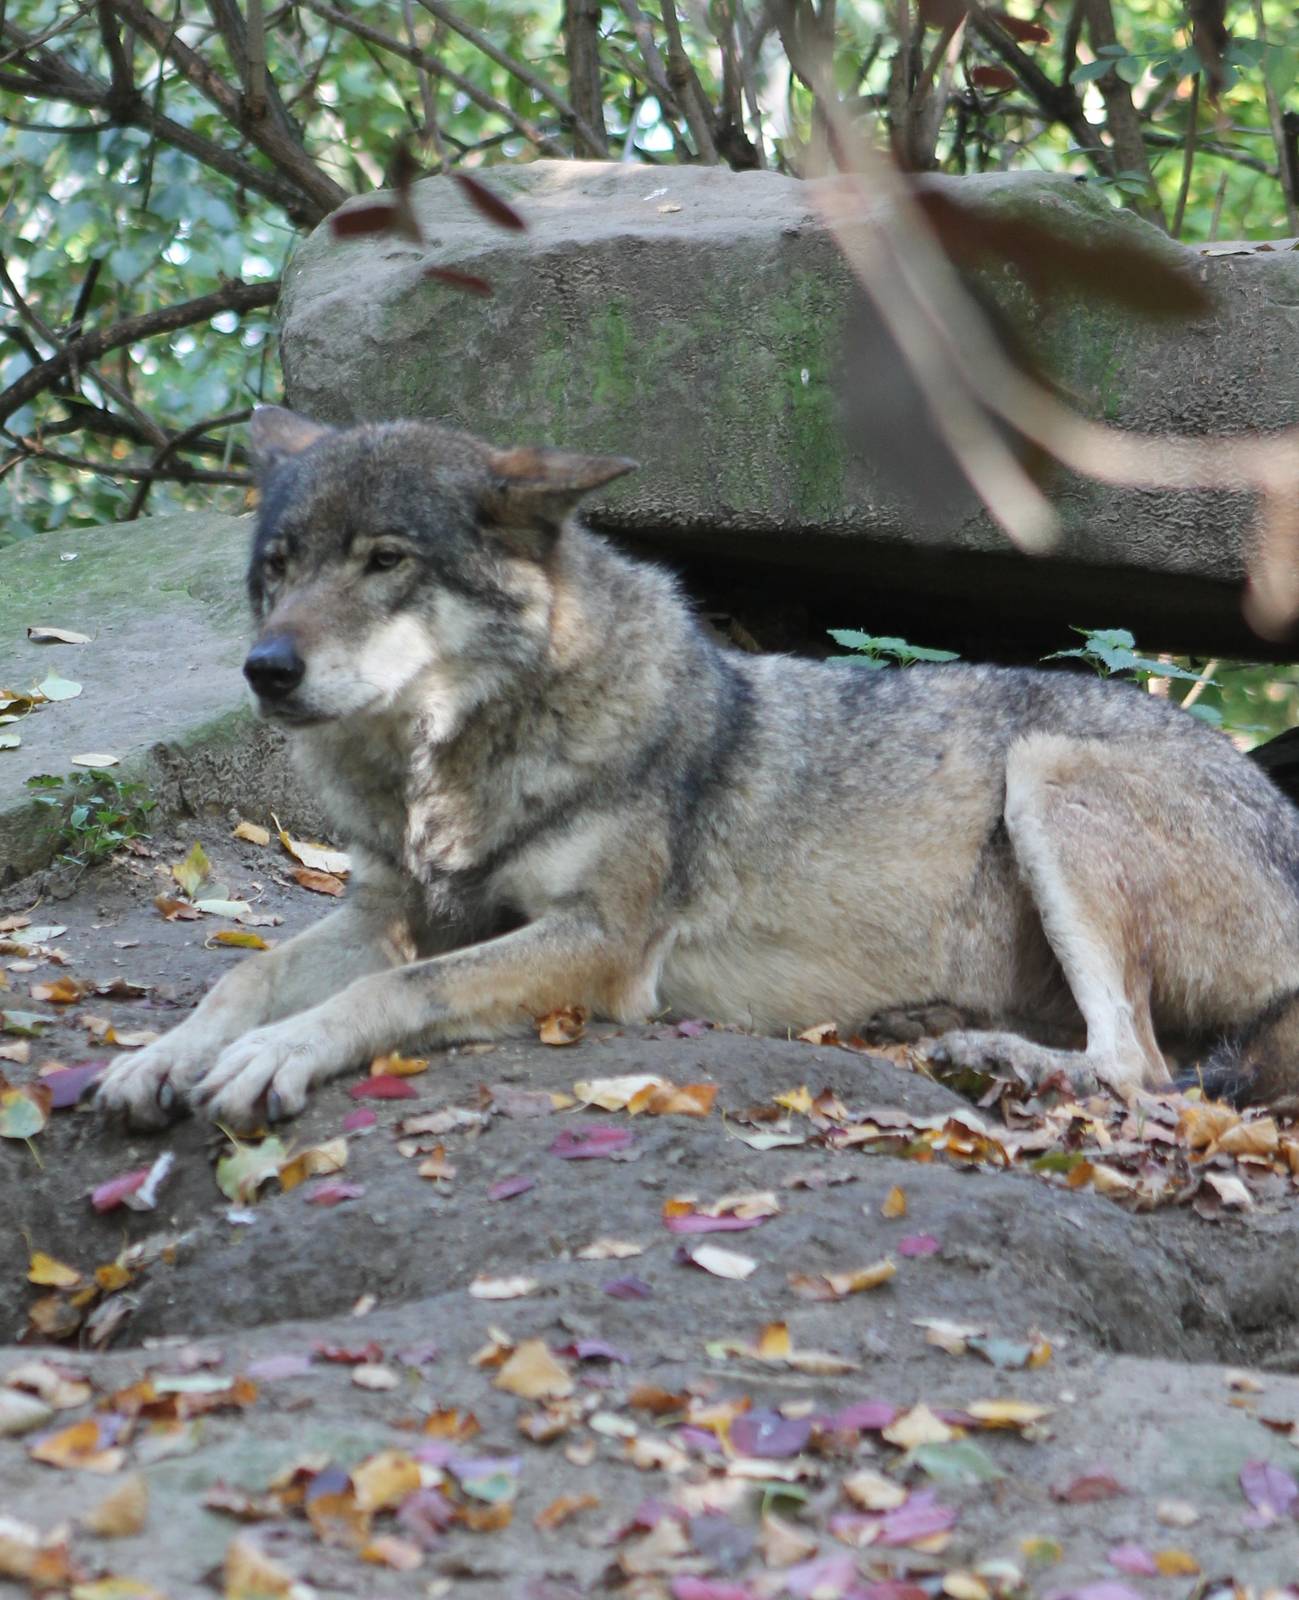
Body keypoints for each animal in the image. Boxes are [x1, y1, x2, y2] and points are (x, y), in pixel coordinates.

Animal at [98, 406, 1299, 1130]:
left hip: (1045, 775)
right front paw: (165, 1054)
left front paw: (274, 1055)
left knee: (1140, 1068)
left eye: (385, 561)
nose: (266, 669)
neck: (449, 772)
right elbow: (246, 974)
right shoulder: (389, 910)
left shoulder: (597, 945)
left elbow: (397, 988)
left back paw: (996, 1057)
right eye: (280, 565)